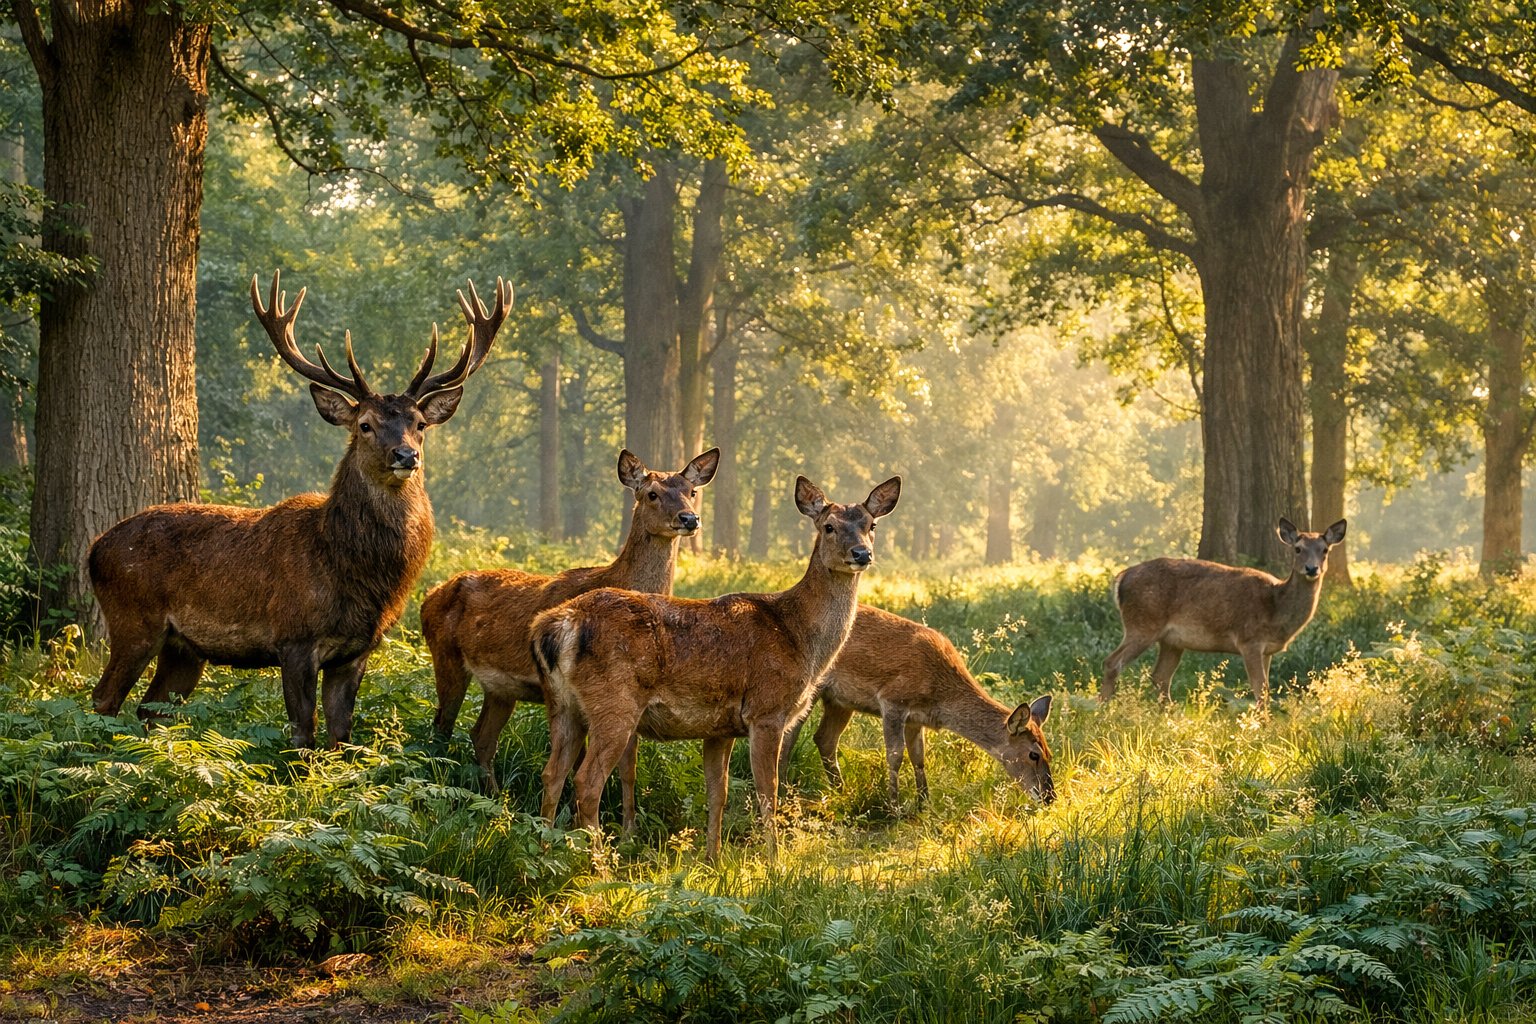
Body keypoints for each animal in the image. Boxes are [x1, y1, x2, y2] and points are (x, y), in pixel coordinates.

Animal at [88, 271, 511, 748]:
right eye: (365, 425)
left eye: (419, 424)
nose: (406, 455)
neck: (350, 568)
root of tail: (93, 550)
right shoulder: (294, 639)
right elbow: (303, 735)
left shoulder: (356, 651)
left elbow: (341, 736)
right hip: (132, 620)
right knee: (104, 700)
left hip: (184, 649)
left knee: (151, 709)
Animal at [421, 446, 719, 793]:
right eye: (652, 494)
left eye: (692, 491)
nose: (689, 518)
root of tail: (429, 597)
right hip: (446, 656)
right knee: (441, 726)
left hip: (500, 689)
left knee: (481, 736)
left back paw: (494, 795)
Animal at [530, 475, 901, 861]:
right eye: (829, 526)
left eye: (871, 525)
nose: (861, 553)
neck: (799, 638)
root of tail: (557, 625)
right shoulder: (766, 710)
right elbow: (767, 790)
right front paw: (774, 859)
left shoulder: (720, 727)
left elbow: (717, 793)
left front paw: (714, 859)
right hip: (614, 702)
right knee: (587, 781)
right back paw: (600, 863)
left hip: (561, 703)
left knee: (552, 773)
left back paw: (545, 850)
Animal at [779, 605, 1055, 806]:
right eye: (1033, 754)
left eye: (1049, 752)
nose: (1049, 797)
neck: (940, 695)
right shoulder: (893, 700)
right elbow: (894, 755)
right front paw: (895, 806)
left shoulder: (916, 718)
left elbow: (919, 757)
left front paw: (925, 804)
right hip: (811, 687)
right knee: (790, 734)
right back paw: (783, 791)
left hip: (840, 700)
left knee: (825, 738)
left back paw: (840, 791)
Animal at [1100, 517, 1348, 709]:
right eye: (1298, 549)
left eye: (1325, 550)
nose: (1312, 569)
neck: (1276, 608)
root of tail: (1121, 578)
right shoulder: (1249, 640)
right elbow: (1259, 689)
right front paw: (1263, 727)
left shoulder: (1267, 650)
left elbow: (1266, 689)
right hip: (1142, 623)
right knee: (1112, 662)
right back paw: (1103, 710)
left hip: (1171, 640)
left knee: (1160, 676)